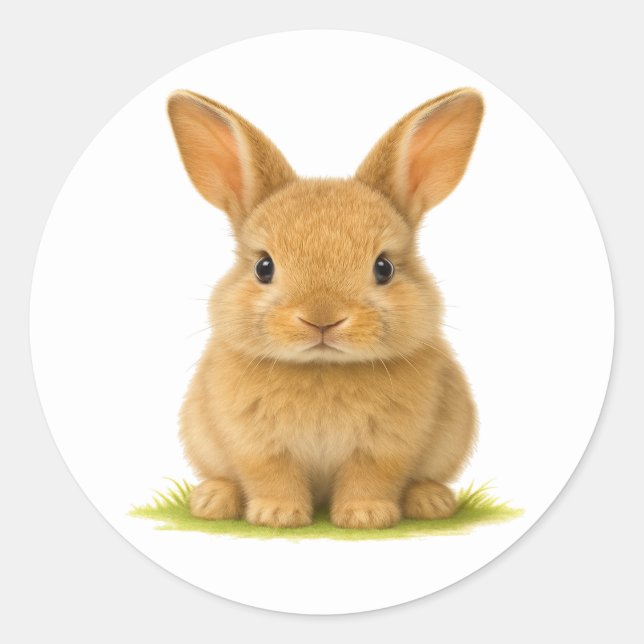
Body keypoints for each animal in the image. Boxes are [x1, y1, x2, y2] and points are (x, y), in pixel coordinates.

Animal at [167, 87, 483, 529]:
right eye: (264, 267)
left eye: (383, 267)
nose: (322, 319)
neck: (323, 367)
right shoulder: (256, 442)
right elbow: (272, 473)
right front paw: (277, 514)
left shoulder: (385, 445)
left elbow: (370, 475)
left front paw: (365, 516)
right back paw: (213, 500)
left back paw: (431, 502)